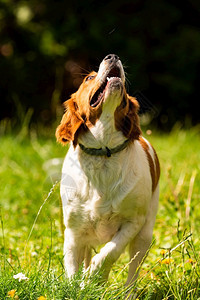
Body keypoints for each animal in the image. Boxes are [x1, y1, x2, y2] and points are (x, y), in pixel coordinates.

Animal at [55, 54, 159, 286]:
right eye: (89, 78)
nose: (113, 56)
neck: (104, 152)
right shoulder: (73, 230)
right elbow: (72, 270)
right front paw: (78, 285)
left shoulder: (133, 221)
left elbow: (109, 253)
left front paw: (94, 276)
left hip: (144, 235)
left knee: (132, 272)